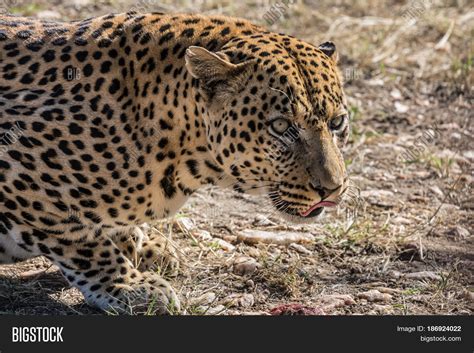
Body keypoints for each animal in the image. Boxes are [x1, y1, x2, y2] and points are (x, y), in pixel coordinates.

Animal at [0, 11, 348, 314]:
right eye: (280, 126)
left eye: (337, 122)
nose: (331, 189)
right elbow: (81, 239)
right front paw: (129, 286)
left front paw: (141, 245)